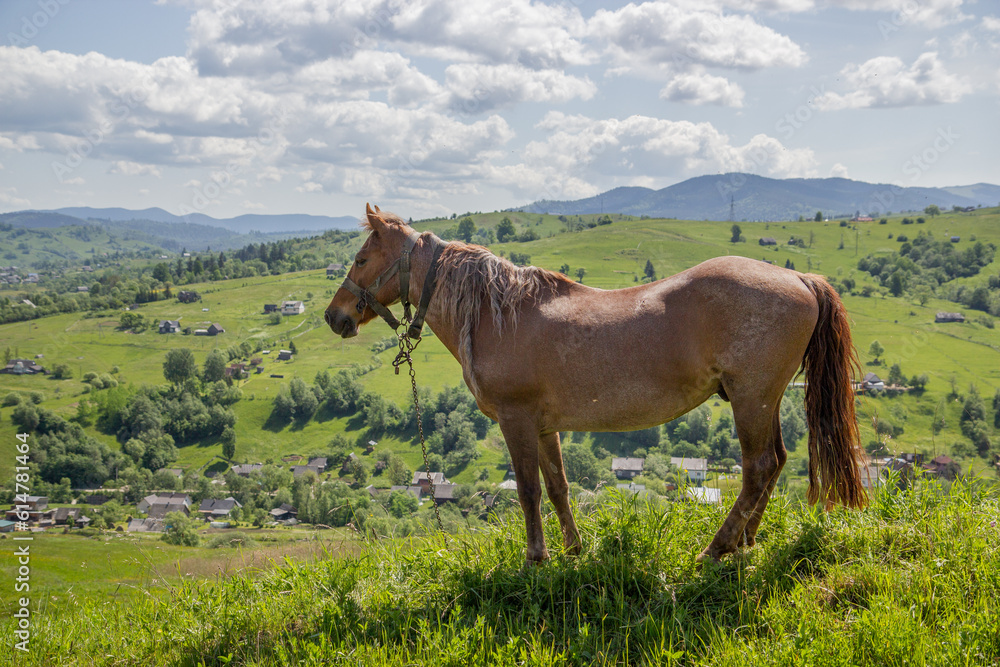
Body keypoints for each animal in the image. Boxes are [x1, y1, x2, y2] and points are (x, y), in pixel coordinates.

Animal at [326, 204, 867, 565]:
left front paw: (536, 558)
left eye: (360, 260)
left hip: (751, 398)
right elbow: (558, 487)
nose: (335, 316)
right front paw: (573, 549)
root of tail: (800, 280)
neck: (495, 313)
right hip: (761, 399)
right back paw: (744, 541)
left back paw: (716, 549)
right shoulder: (544, 426)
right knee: (775, 462)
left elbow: (528, 491)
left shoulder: (516, 421)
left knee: (757, 467)